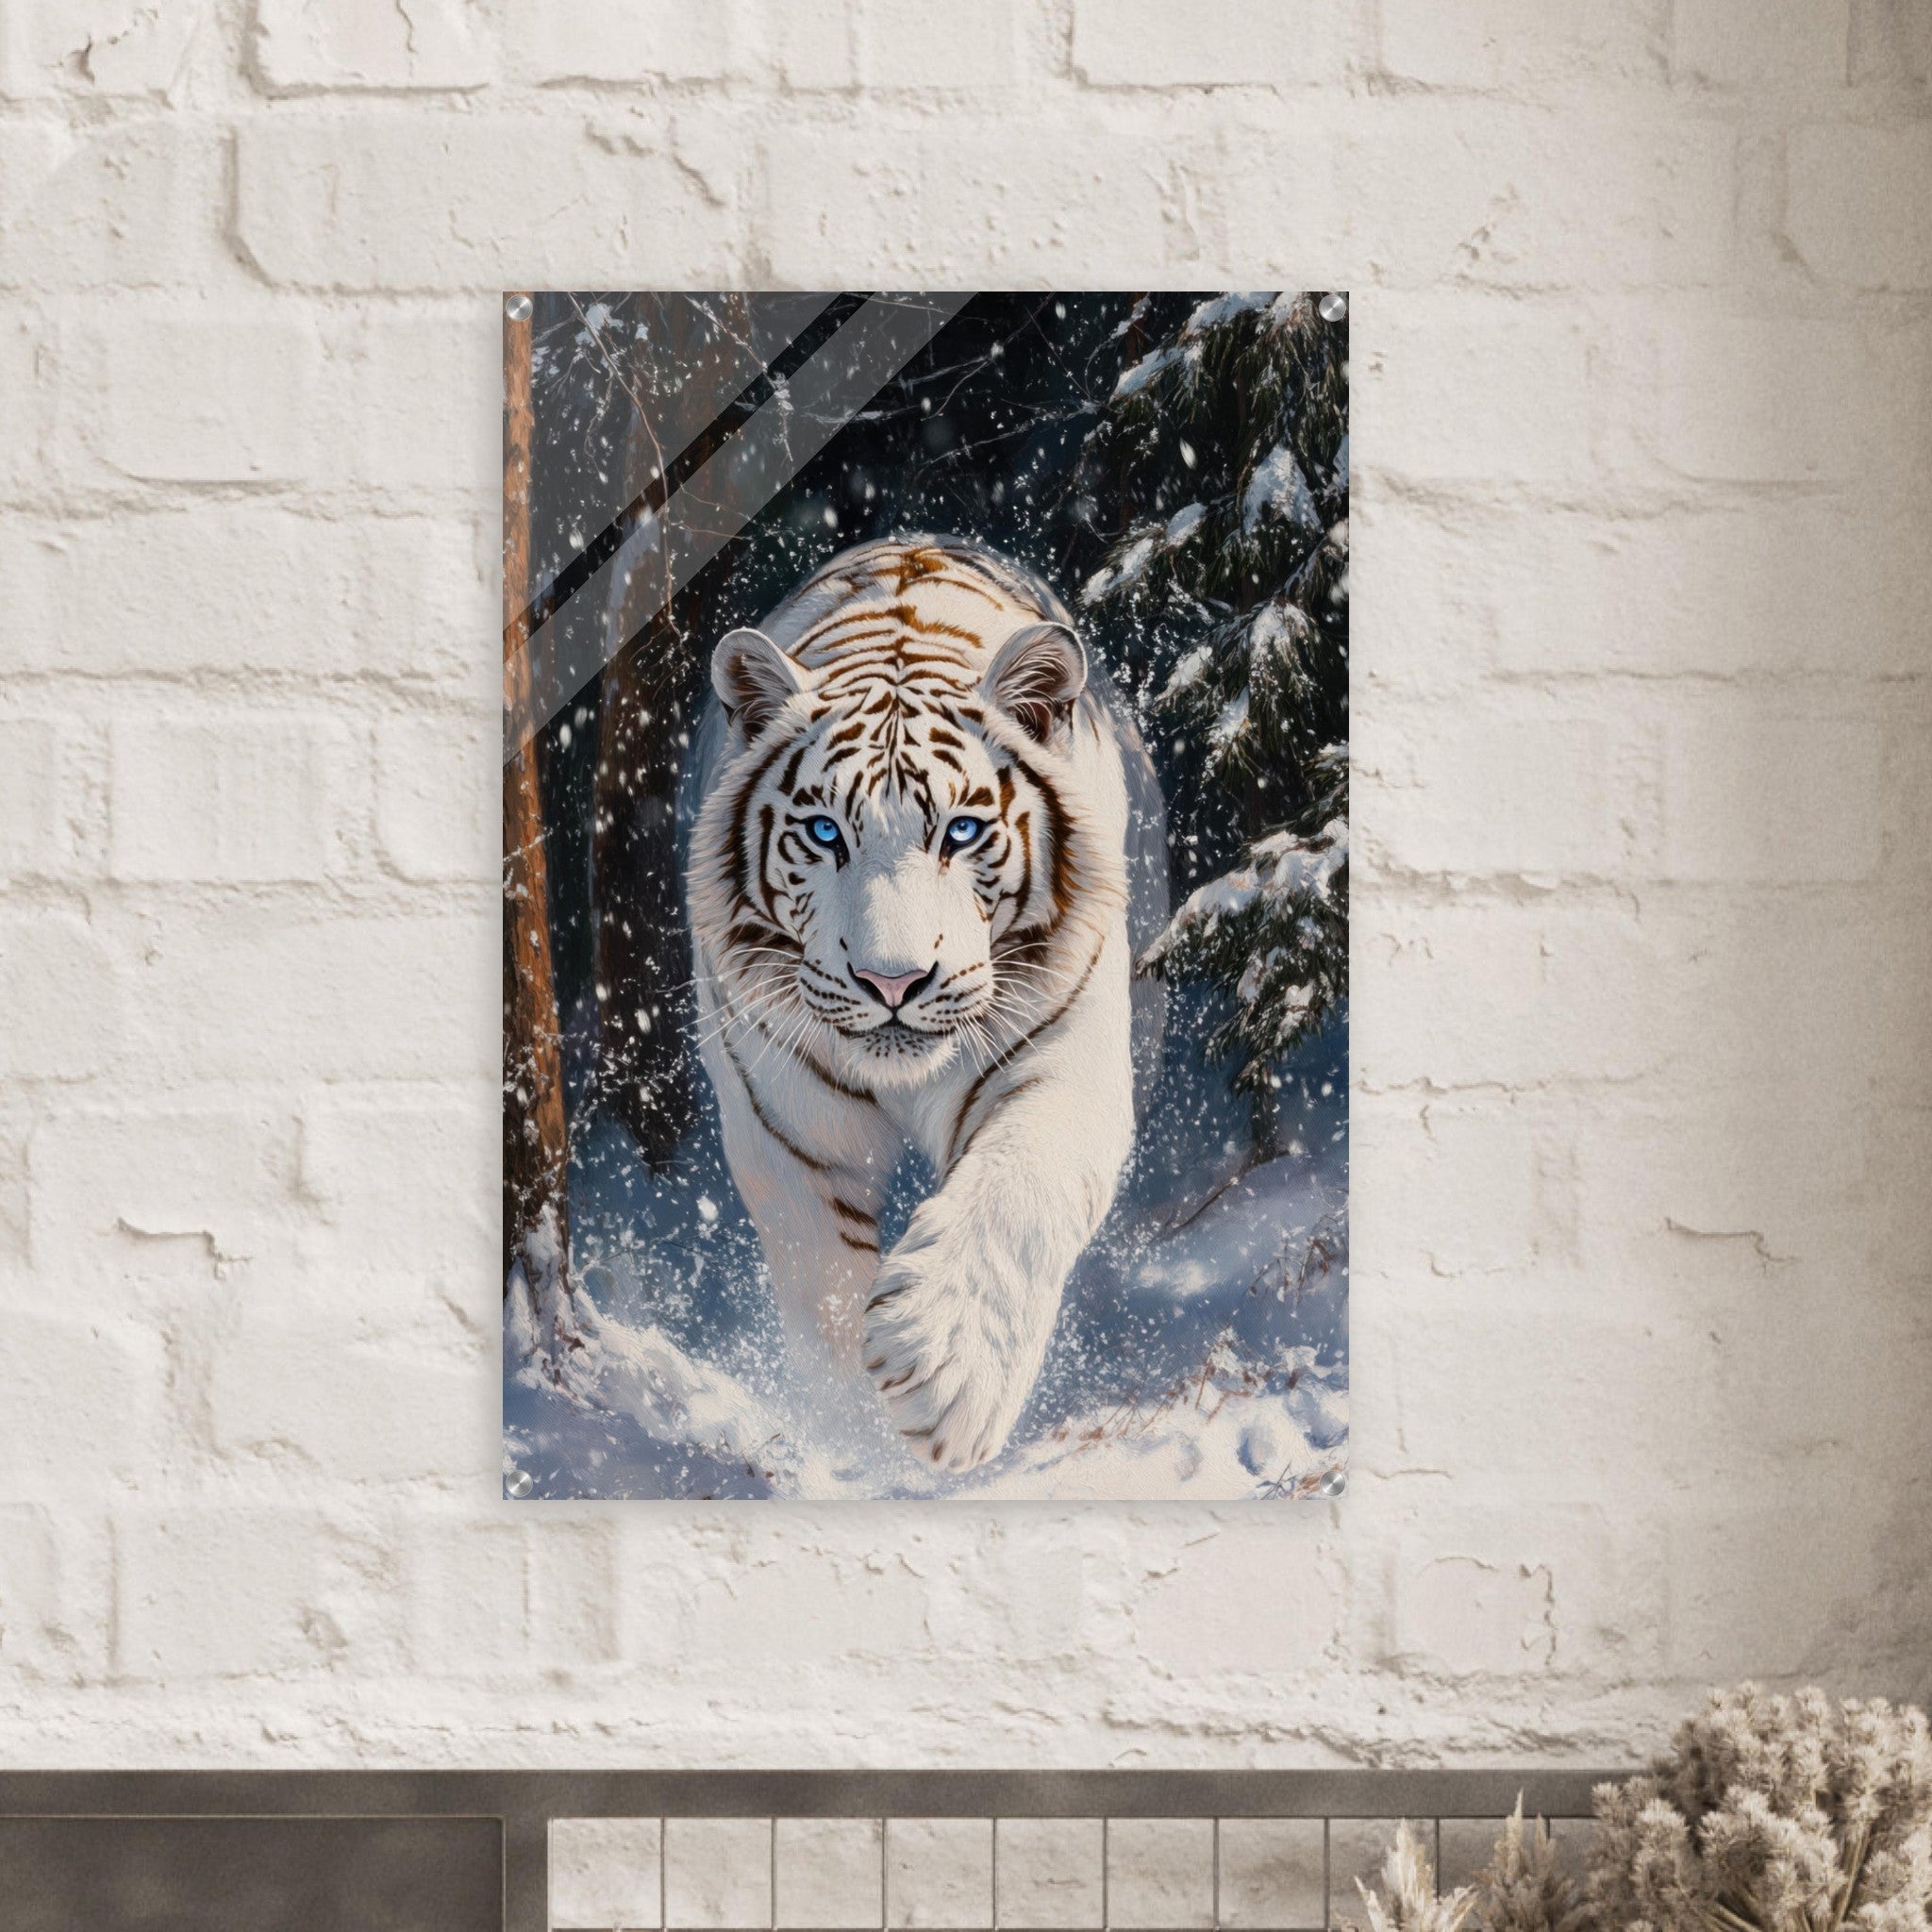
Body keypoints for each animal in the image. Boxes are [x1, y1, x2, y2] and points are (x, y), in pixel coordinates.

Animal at [685, 535, 1143, 1474]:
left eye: (960, 831)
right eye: (824, 832)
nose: (892, 982)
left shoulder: (1065, 1063)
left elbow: (1018, 1194)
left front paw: (945, 1372)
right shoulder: (783, 1123)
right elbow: (819, 1279)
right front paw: (859, 1434)